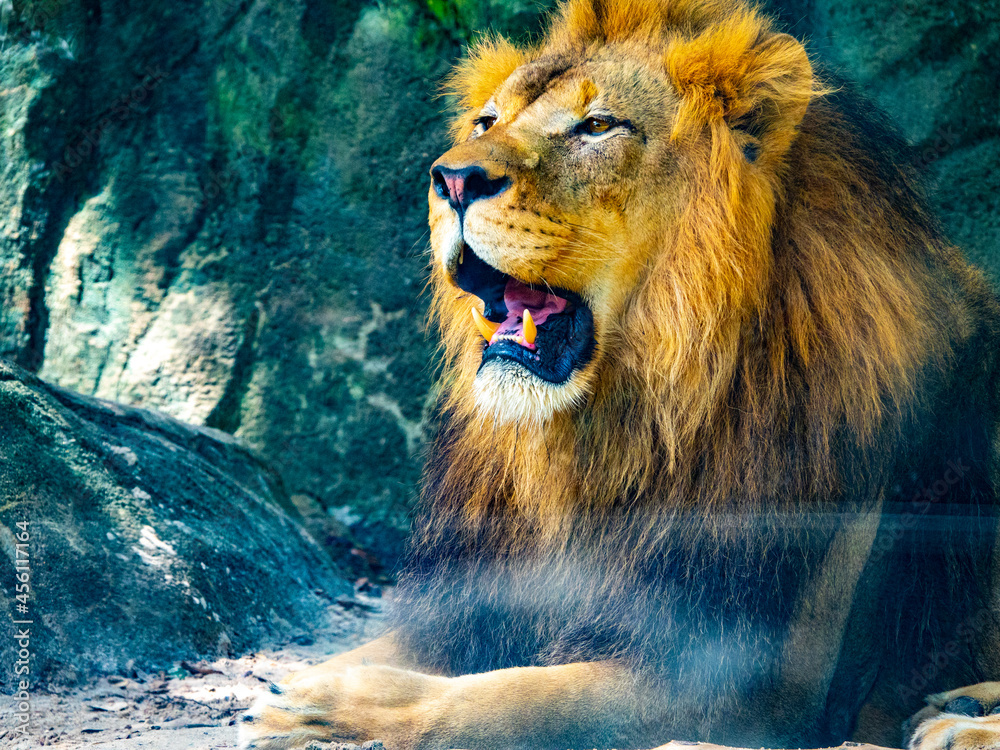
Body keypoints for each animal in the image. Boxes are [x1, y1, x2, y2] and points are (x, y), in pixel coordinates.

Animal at [239, 1, 1000, 748]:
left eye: (598, 126)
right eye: (486, 122)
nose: (451, 180)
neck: (607, 437)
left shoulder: (749, 687)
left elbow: (517, 700)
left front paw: (331, 712)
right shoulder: (475, 606)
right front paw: (297, 688)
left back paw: (956, 723)